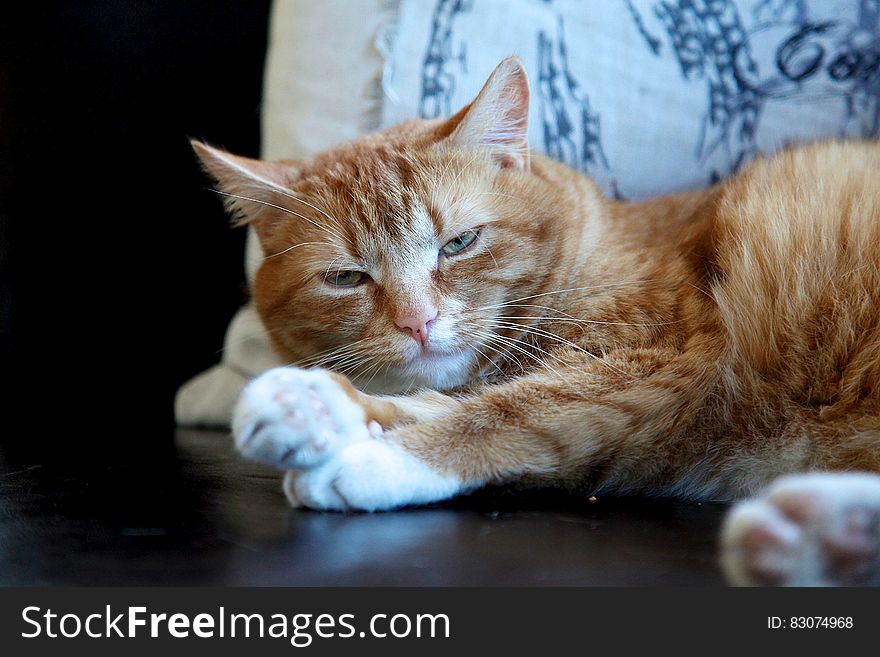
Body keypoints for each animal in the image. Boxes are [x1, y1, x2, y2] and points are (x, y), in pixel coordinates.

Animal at [194, 59, 880, 584]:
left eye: (459, 243)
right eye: (346, 278)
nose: (419, 321)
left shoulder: (666, 362)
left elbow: (511, 411)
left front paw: (380, 459)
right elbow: (444, 399)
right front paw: (317, 407)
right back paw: (824, 538)